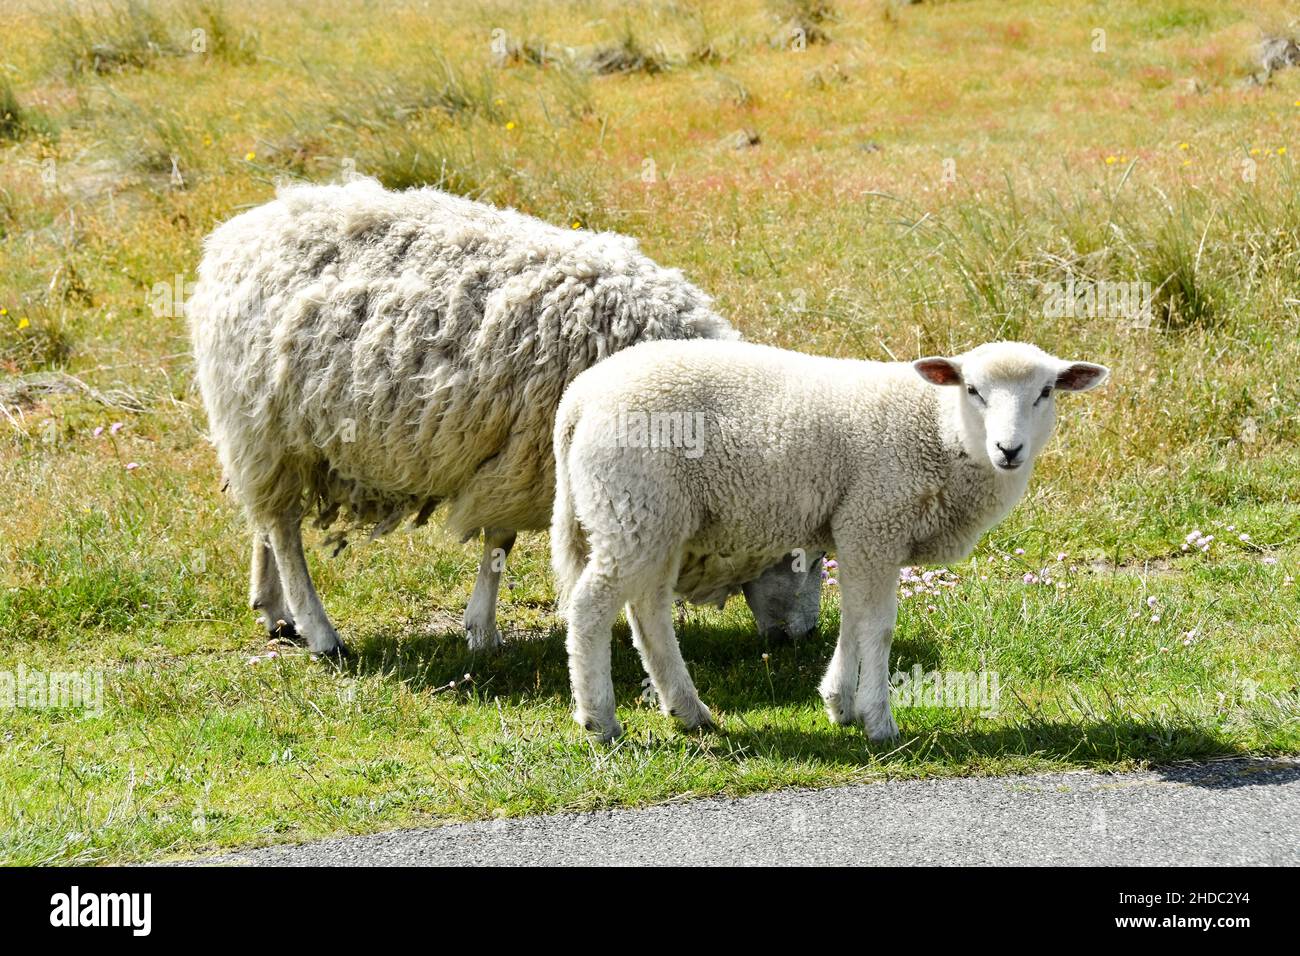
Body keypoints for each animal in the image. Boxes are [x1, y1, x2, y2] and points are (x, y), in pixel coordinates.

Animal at [187, 178, 821, 654]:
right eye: (802, 557)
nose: (803, 638)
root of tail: (234, 237)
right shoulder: (523, 459)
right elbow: (500, 540)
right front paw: (483, 630)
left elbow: (508, 540)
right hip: (267, 429)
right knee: (284, 530)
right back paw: (320, 631)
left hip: (267, 438)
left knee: (267, 521)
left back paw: (273, 608)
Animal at [552, 339, 1109, 741]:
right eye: (973, 389)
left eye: (1046, 392)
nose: (1009, 449)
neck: (940, 432)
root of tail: (578, 398)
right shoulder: (875, 519)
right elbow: (878, 628)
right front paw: (879, 722)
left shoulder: (861, 532)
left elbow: (854, 620)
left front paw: (840, 704)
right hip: (635, 504)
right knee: (591, 606)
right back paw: (600, 721)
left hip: (655, 518)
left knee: (647, 610)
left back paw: (688, 710)